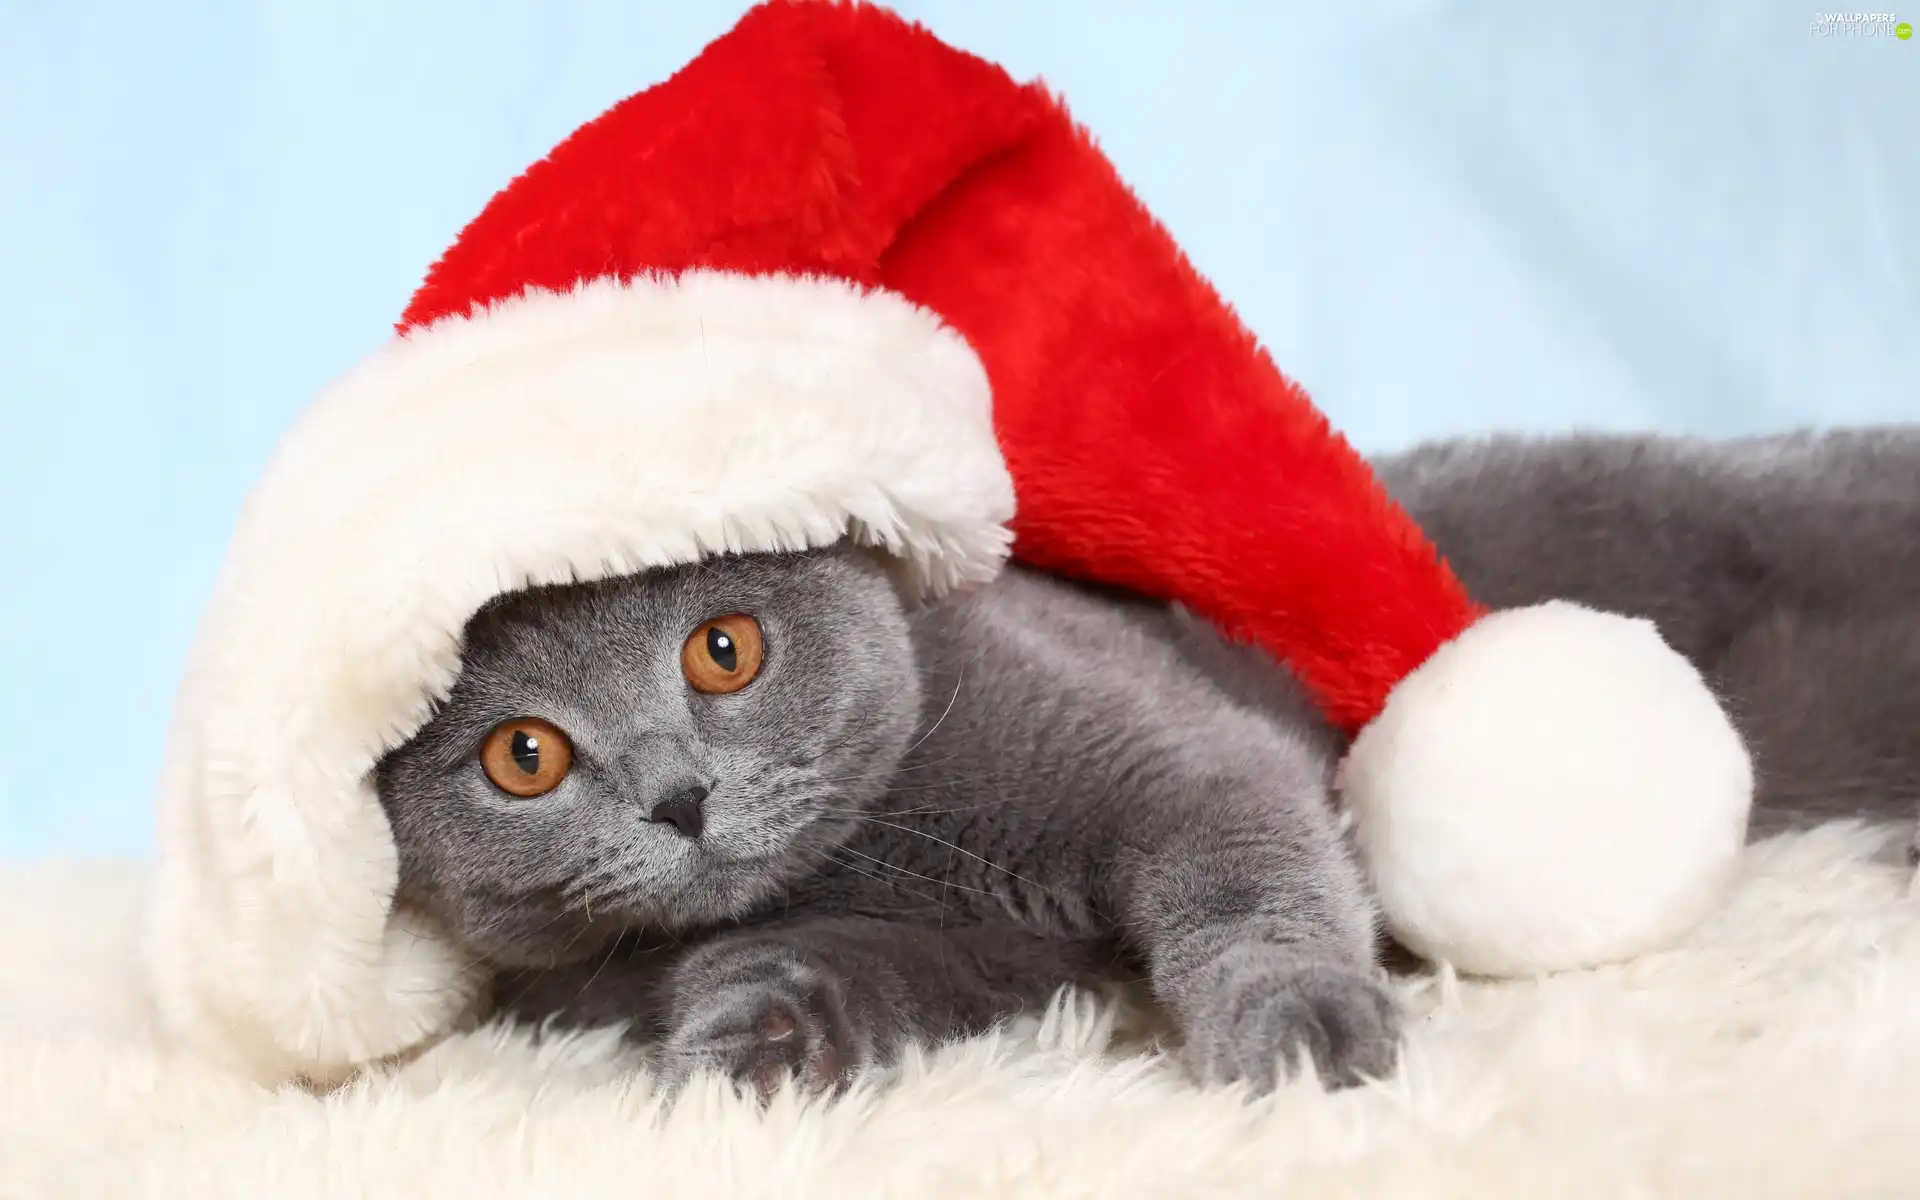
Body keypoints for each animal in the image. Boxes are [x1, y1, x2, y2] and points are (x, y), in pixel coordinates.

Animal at [374, 428, 1920, 1098]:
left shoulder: (1176, 753)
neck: (885, 850)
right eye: (524, 756)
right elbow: (821, 970)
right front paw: (749, 1046)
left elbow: (1245, 874)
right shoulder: (968, 955)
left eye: (723, 651)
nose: (680, 796)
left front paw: (1299, 1031)